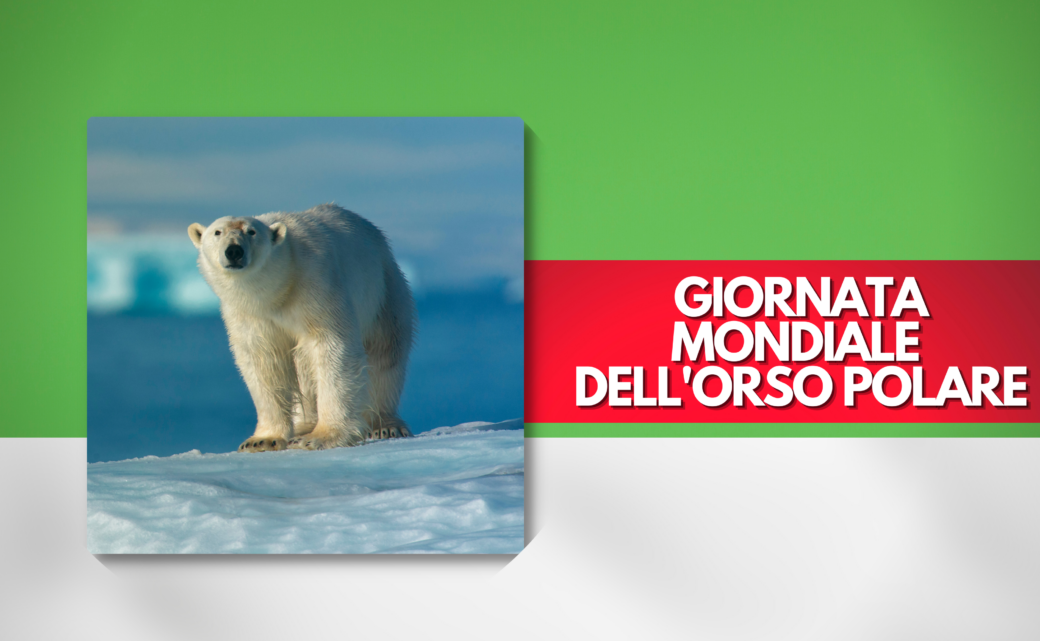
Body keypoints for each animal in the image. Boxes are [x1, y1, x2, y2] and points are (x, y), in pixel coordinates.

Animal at [187, 203, 415, 452]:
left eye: (251, 232)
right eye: (217, 232)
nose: (234, 251)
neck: (278, 288)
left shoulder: (315, 286)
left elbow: (331, 347)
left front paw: (320, 436)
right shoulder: (250, 315)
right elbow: (263, 361)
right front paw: (261, 440)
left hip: (384, 291)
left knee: (384, 355)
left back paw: (385, 425)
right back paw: (303, 426)